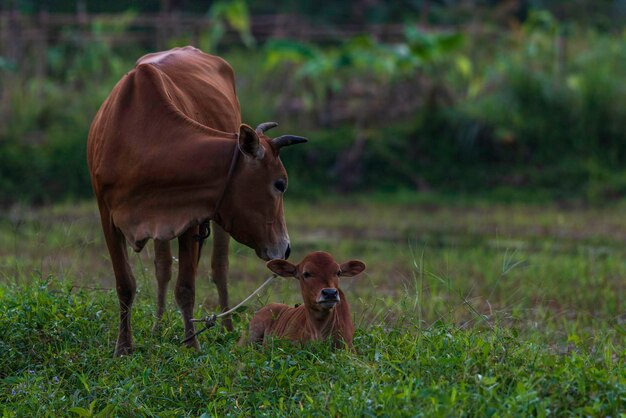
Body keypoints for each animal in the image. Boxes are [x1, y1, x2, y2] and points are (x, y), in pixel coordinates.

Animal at [86, 46, 306, 356]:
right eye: (280, 184)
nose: (285, 249)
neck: (145, 143)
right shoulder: (108, 215)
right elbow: (125, 285)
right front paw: (124, 347)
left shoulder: (190, 219)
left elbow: (186, 287)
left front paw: (191, 343)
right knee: (163, 268)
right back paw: (157, 326)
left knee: (219, 268)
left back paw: (226, 327)